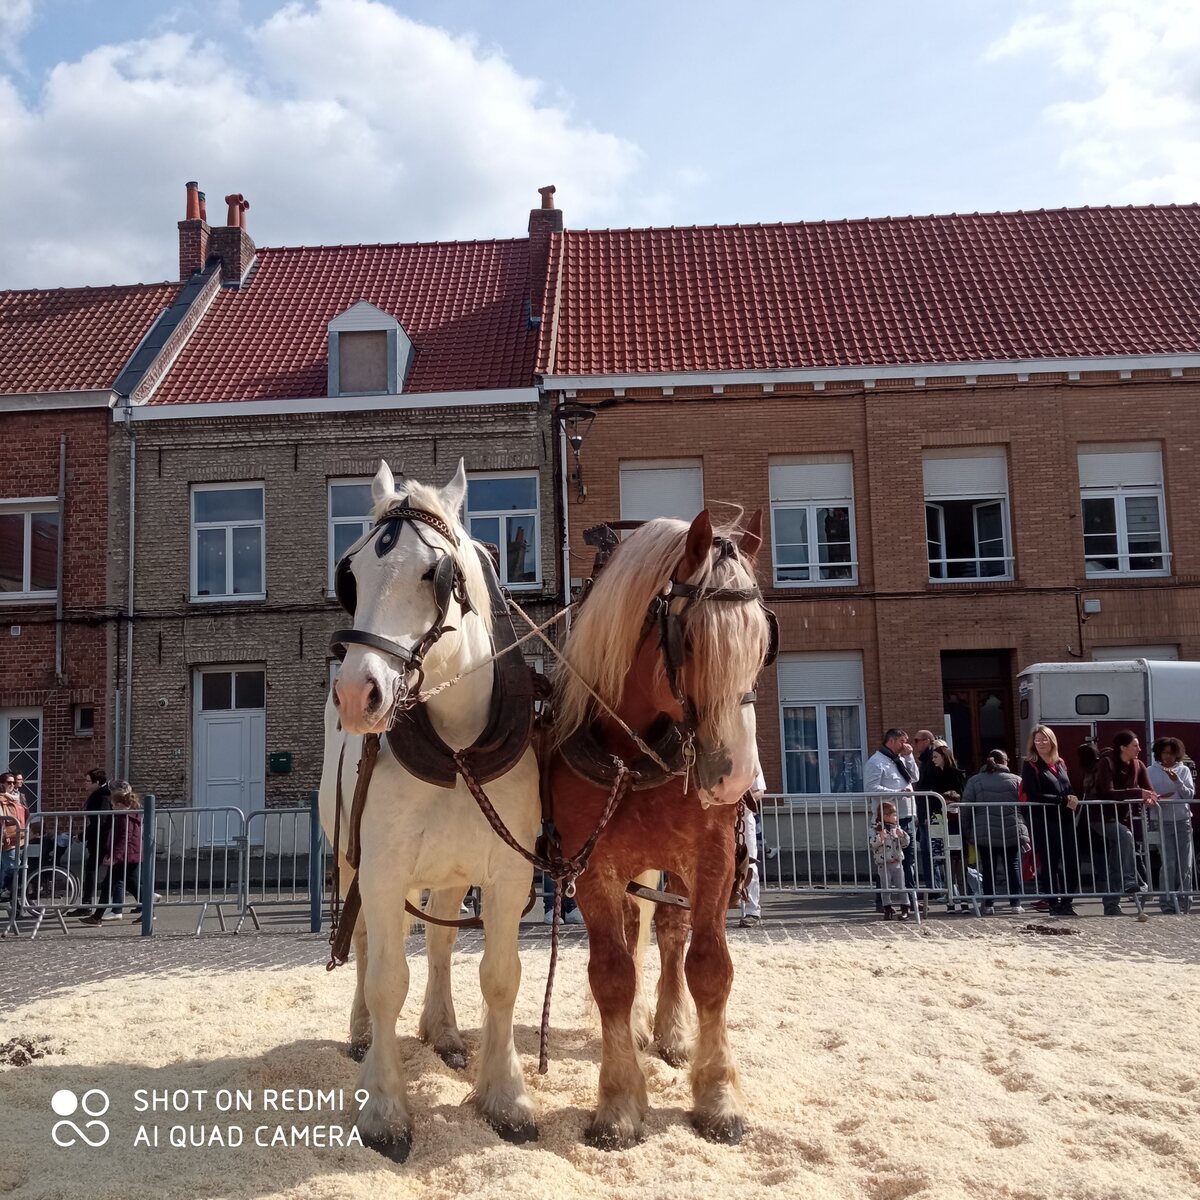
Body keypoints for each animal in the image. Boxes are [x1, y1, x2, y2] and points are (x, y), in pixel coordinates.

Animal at [319, 460, 541, 1162]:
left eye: (434, 574)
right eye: (352, 573)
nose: (355, 694)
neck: (458, 748)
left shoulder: (508, 875)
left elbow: (500, 976)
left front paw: (506, 1097)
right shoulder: (382, 869)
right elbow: (386, 978)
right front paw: (385, 1108)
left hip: (451, 871)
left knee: (442, 943)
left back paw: (442, 1032)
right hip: (350, 860)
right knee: (365, 945)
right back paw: (363, 1034)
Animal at [548, 509, 773, 1148]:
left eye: (763, 642)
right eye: (689, 638)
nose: (736, 777)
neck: (637, 755)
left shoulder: (713, 855)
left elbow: (710, 967)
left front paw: (718, 1098)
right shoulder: (591, 865)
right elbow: (612, 975)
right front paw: (620, 1103)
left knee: (672, 931)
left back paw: (672, 1032)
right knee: (634, 930)